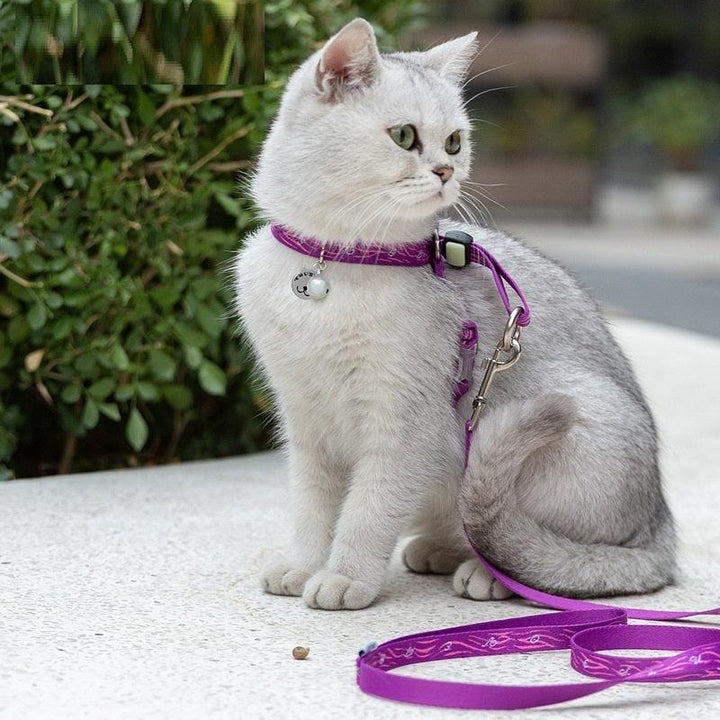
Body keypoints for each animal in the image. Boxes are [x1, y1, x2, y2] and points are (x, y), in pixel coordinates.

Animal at [235, 19, 676, 612]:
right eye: (404, 137)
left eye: (453, 142)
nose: (446, 171)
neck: (335, 268)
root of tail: (660, 522)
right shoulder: (305, 421)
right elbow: (312, 510)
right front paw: (304, 565)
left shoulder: (405, 425)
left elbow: (368, 511)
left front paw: (345, 578)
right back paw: (440, 551)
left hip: (571, 427)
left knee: (526, 548)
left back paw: (488, 575)